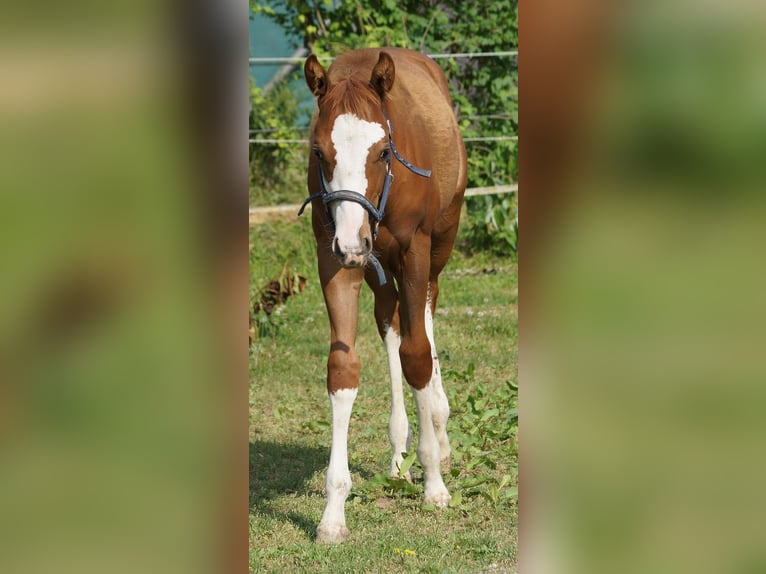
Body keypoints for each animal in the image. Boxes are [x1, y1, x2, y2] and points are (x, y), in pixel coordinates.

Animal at [302, 48, 468, 544]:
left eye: (382, 152)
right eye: (319, 152)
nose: (353, 243)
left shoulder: (414, 249)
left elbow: (418, 355)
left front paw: (435, 483)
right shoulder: (334, 257)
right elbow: (343, 369)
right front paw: (333, 514)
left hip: (438, 243)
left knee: (425, 315)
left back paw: (439, 431)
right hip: (377, 266)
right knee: (391, 321)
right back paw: (398, 456)